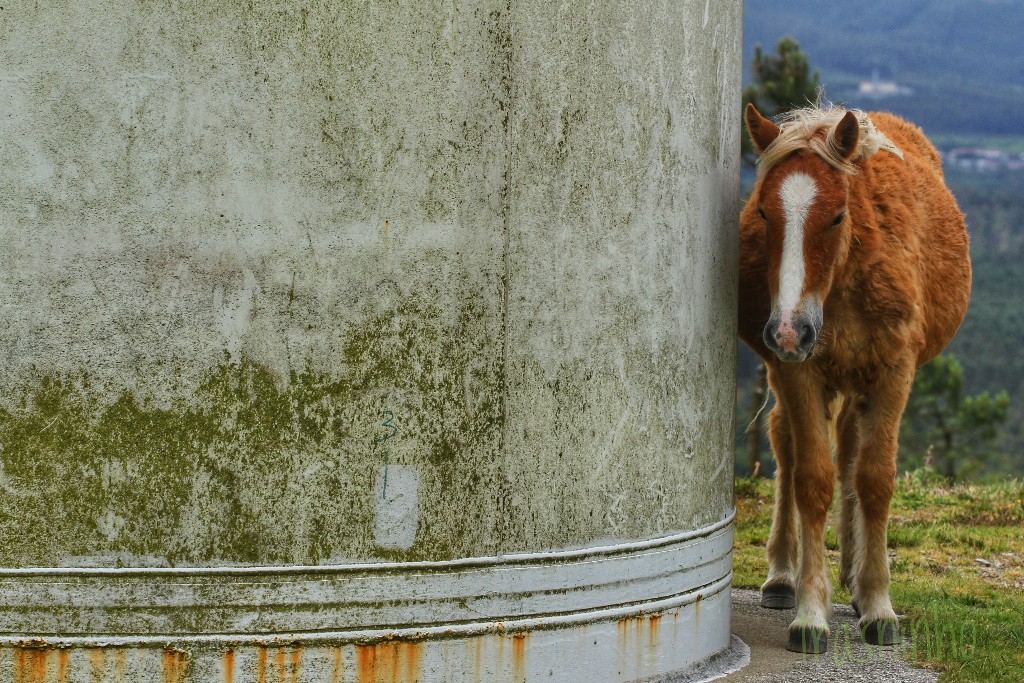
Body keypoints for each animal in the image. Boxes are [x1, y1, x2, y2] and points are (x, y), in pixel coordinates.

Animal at [737, 104, 966, 655]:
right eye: (763, 214)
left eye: (837, 215)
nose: (788, 330)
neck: (844, 280)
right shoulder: (799, 373)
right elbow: (812, 479)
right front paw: (810, 613)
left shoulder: (892, 375)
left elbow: (875, 480)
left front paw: (879, 604)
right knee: (786, 445)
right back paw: (783, 576)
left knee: (850, 455)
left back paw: (855, 578)